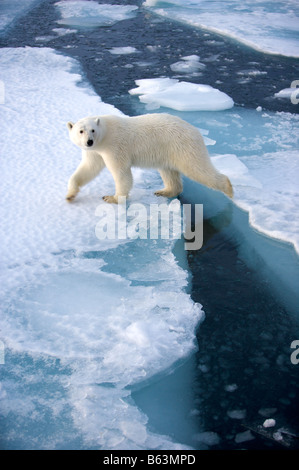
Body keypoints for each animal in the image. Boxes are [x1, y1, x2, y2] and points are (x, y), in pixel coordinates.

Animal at [66, 114, 234, 204]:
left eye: (93, 130)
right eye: (81, 131)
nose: (89, 141)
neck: (106, 132)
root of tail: (196, 131)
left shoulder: (114, 147)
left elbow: (121, 172)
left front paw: (111, 198)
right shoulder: (95, 151)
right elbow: (88, 168)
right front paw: (70, 195)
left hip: (183, 147)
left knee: (197, 168)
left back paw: (228, 188)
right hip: (168, 152)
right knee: (169, 172)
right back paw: (164, 191)